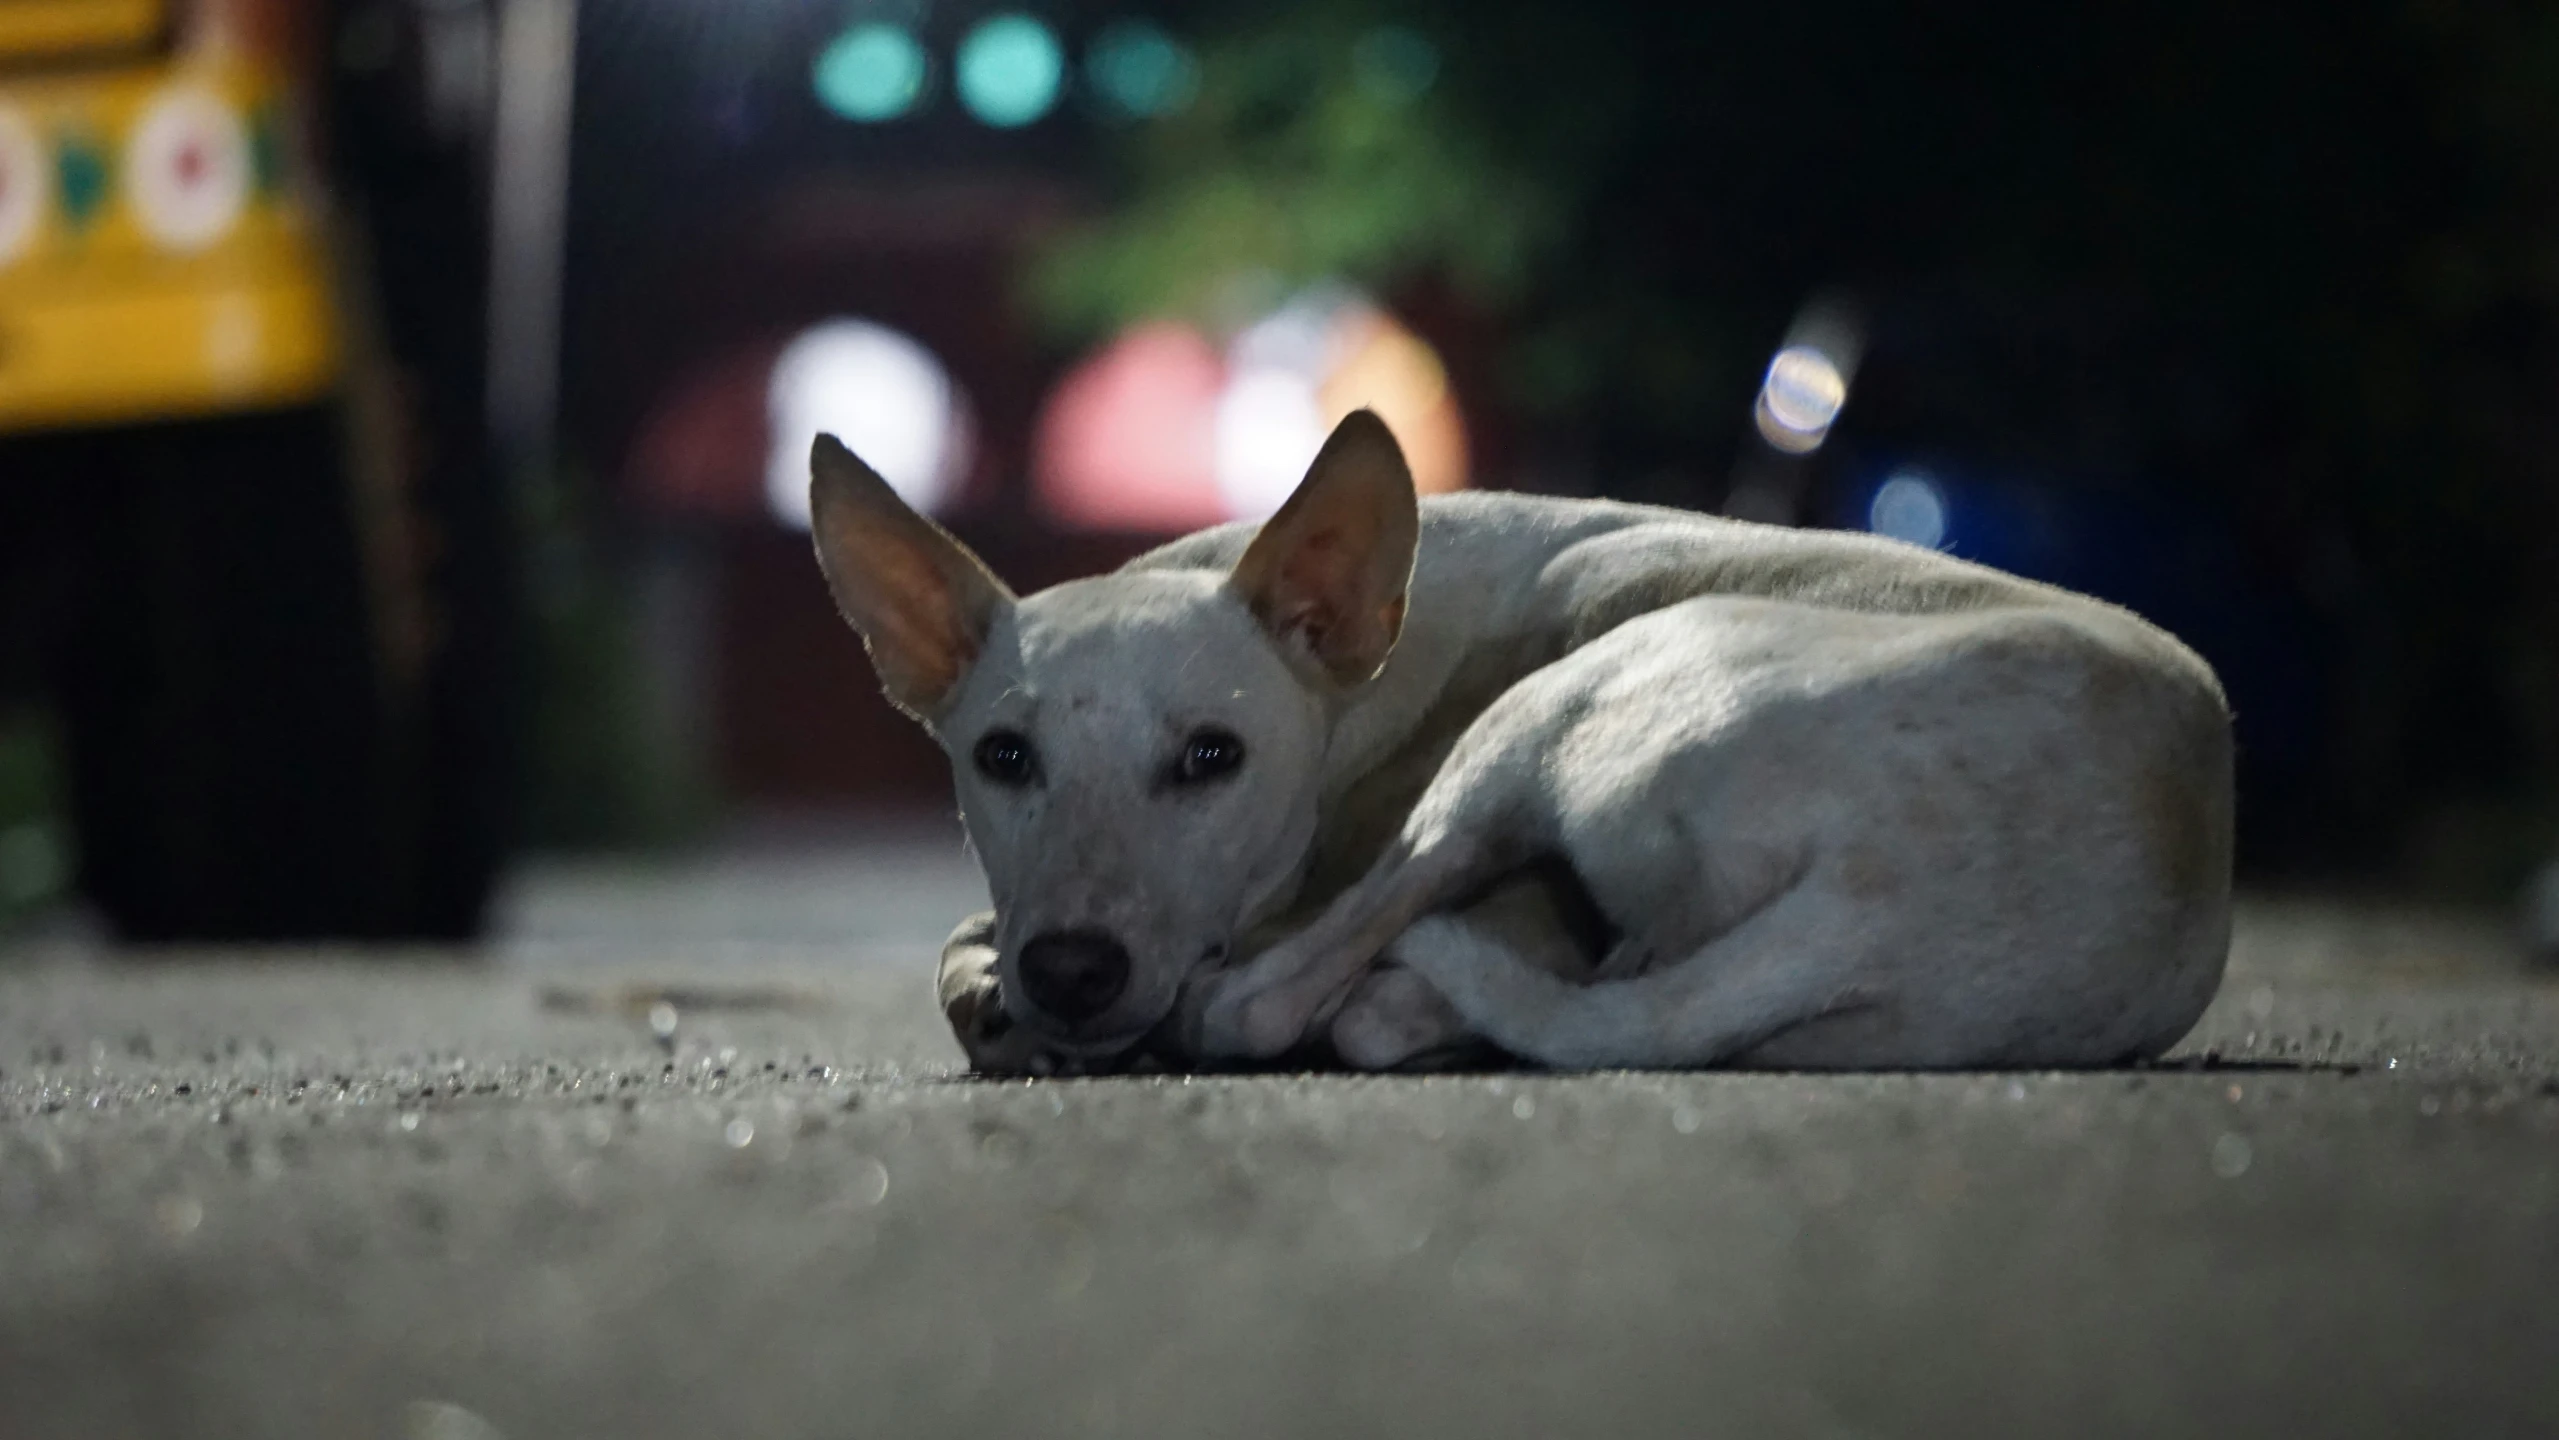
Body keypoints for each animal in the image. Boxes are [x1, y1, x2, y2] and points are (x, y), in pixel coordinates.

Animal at [808, 406, 2231, 1069]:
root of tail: (1879, 902)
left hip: (1548, 711)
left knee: (1281, 998)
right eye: (1004, 760)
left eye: (1213, 757)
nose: (1075, 972)